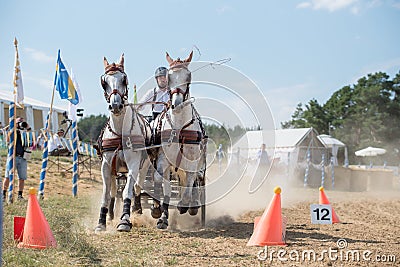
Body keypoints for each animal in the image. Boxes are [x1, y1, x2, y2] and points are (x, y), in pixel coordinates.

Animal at [94, 55, 151, 233]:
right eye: (104, 82)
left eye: (124, 79)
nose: (116, 105)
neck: (120, 132)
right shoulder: (106, 165)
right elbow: (106, 194)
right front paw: (101, 222)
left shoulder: (133, 164)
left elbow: (127, 192)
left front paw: (125, 220)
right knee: (113, 191)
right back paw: (111, 215)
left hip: (144, 166)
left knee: (137, 188)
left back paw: (136, 210)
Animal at [153, 52, 208, 230]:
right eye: (169, 77)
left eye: (188, 77)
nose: (176, 104)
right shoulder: (163, 159)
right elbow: (162, 184)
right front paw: (160, 214)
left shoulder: (192, 160)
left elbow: (190, 182)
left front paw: (185, 205)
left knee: (195, 180)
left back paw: (193, 205)